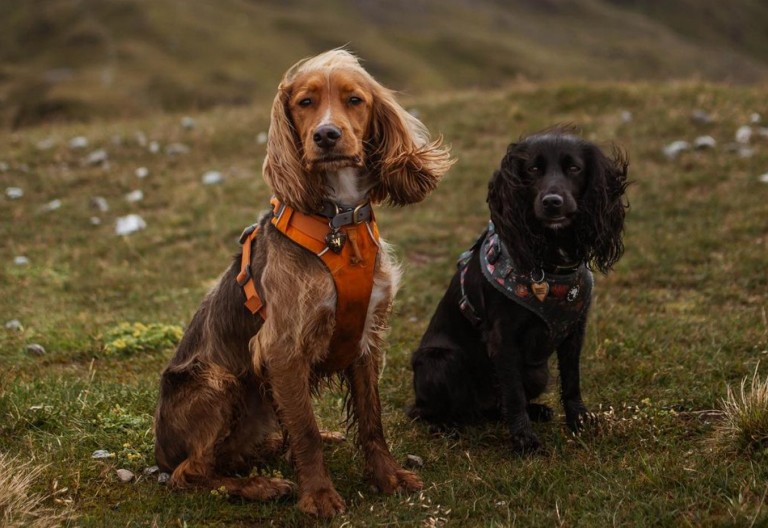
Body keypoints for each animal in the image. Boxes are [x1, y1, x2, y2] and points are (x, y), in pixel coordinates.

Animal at [155, 49, 452, 516]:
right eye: (305, 102)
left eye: (354, 100)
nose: (327, 136)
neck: (338, 226)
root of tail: (158, 451)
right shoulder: (283, 346)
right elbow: (306, 431)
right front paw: (319, 496)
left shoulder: (366, 337)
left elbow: (371, 419)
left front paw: (386, 477)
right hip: (216, 382)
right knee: (192, 473)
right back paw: (262, 486)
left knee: (248, 449)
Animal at [412, 130, 628, 452]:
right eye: (533, 169)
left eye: (574, 168)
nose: (552, 202)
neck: (550, 261)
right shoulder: (503, 338)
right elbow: (513, 394)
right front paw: (524, 440)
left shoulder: (575, 330)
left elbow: (571, 381)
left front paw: (578, 421)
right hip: (438, 361)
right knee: (426, 410)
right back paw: (447, 426)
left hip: (538, 372)